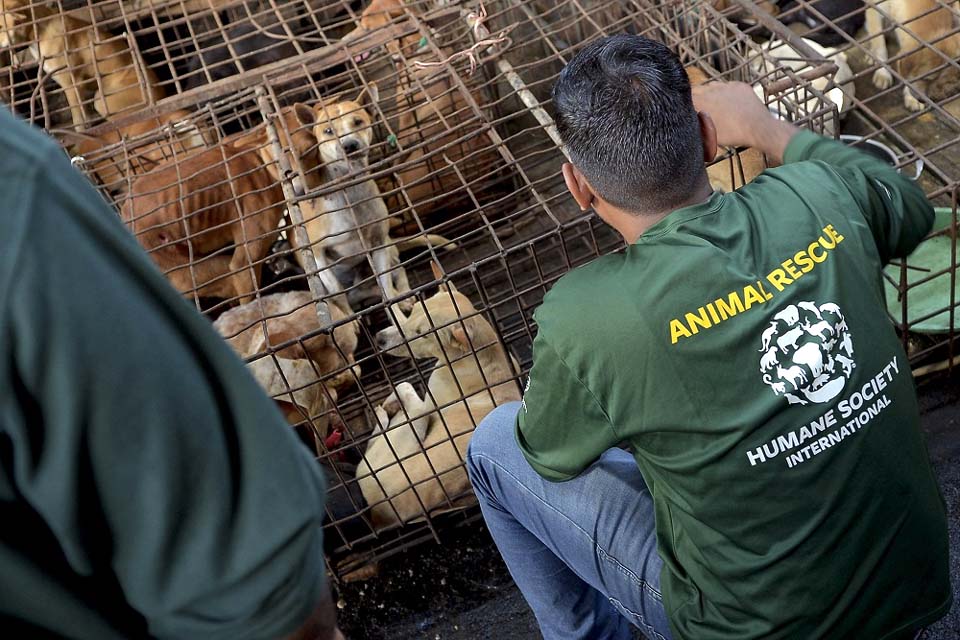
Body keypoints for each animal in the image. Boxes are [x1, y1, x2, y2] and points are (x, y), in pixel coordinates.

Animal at [358, 268, 520, 528]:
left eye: (422, 334)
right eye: (414, 309)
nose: (379, 338)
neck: (479, 356)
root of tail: (378, 508)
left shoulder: (429, 402)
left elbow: (403, 386)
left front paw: (391, 402)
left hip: (407, 428)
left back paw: (385, 413)